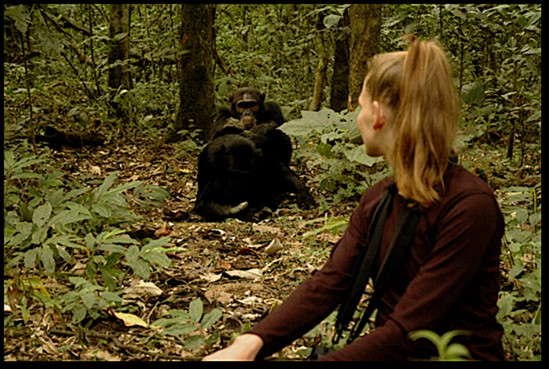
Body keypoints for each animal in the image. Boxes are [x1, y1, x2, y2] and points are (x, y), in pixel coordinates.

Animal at [194, 87, 314, 220]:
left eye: (252, 105)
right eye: (242, 106)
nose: (247, 113)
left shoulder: (274, 109)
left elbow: (284, 138)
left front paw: (265, 127)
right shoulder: (221, 116)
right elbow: (216, 138)